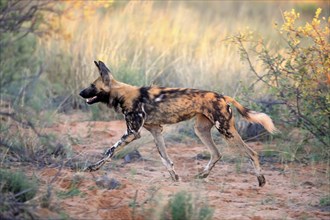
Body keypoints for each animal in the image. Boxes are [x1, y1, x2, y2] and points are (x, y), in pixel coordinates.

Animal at [80, 60, 278, 187]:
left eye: (92, 85)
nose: (81, 93)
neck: (122, 94)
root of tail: (223, 96)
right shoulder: (156, 131)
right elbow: (166, 159)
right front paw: (175, 178)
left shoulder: (132, 133)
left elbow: (110, 151)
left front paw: (93, 168)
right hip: (201, 130)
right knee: (216, 154)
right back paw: (202, 175)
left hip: (225, 130)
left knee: (252, 153)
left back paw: (261, 181)